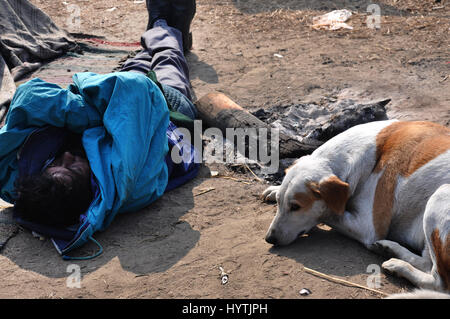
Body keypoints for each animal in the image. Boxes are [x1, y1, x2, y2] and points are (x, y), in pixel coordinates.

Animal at [262, 120, 448, 292]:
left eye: (295, 207)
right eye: (279, 202)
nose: (269, 238)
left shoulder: (367, 227)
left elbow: (329, 212)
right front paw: (275, 188)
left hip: (439, 195)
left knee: (438, 282)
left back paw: (399, 266)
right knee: (426, 263)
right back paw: (390, 250)